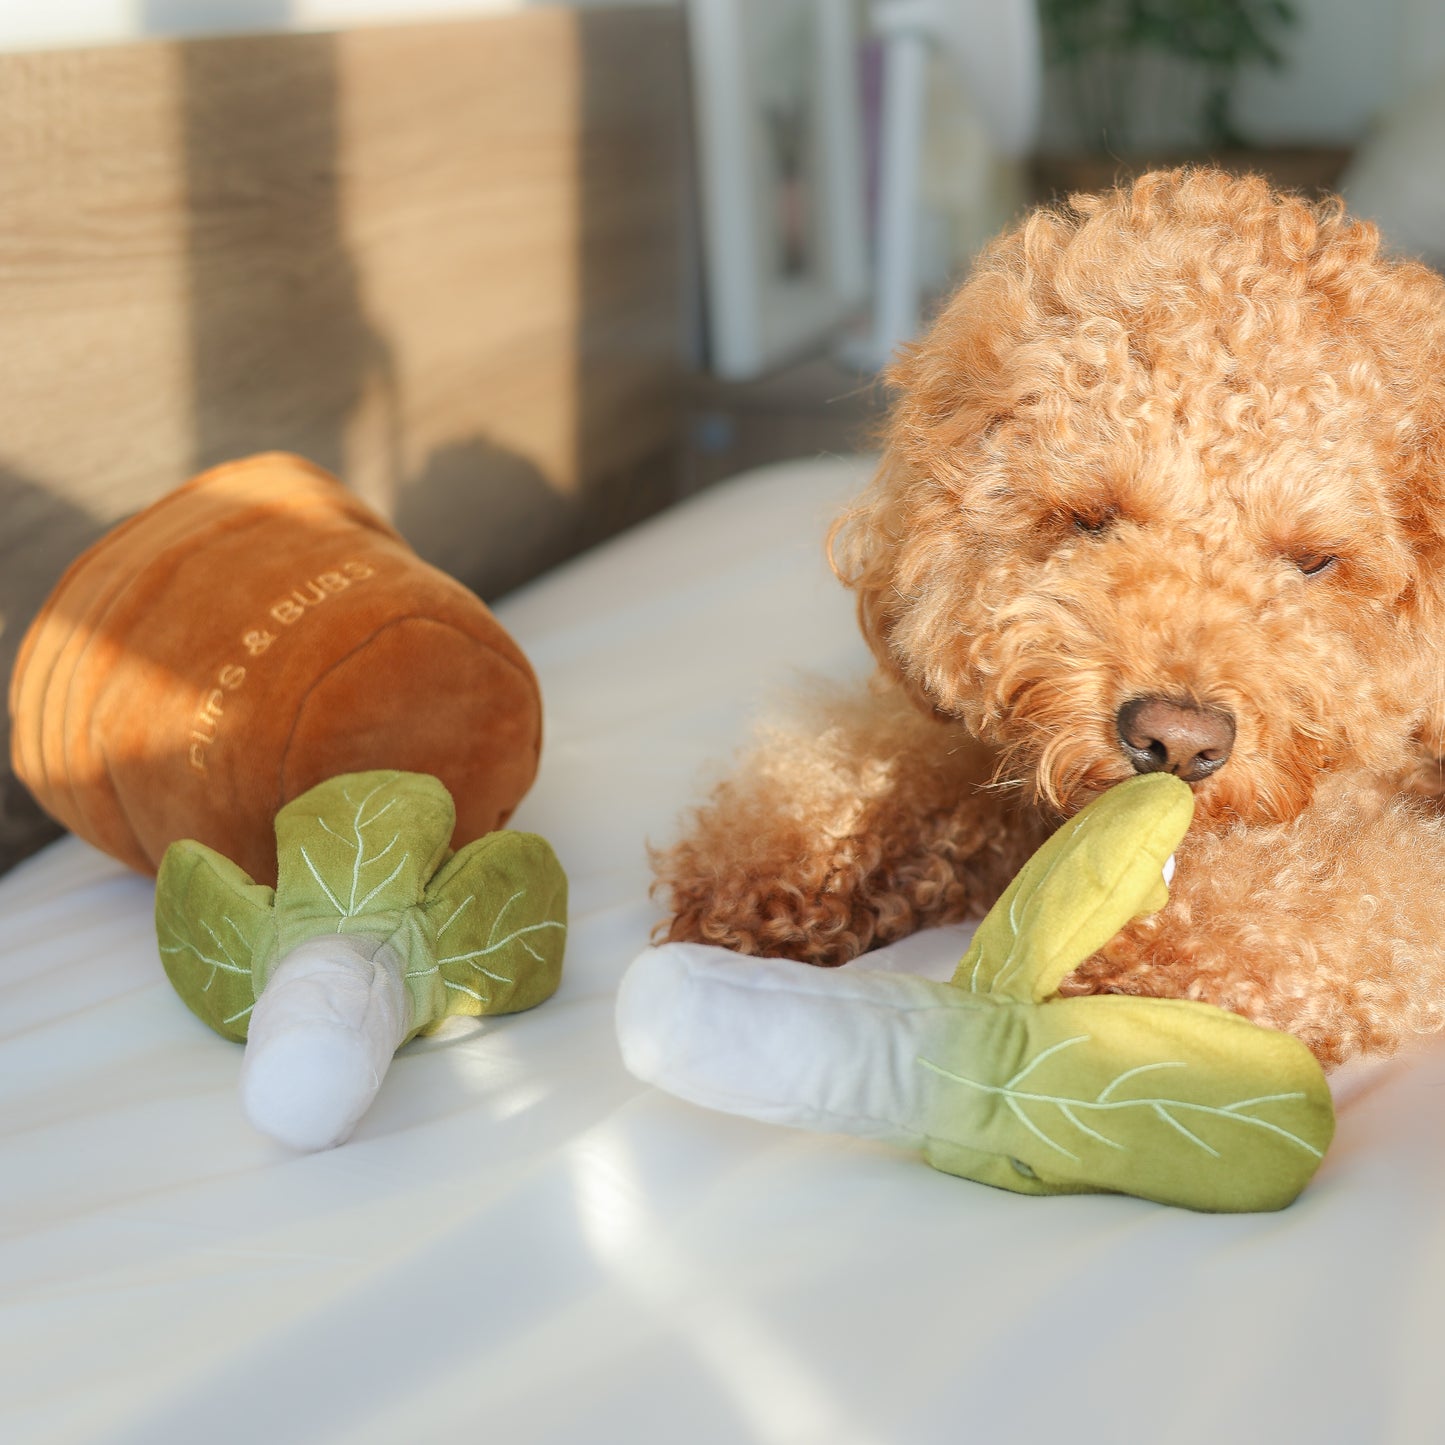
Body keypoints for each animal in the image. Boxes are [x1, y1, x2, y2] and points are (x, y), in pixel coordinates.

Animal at [658, 171, 1445, 1075]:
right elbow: (916, 761)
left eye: (1314, 561)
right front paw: (783, 858)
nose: (1175, 740)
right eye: (1089, 518)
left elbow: (1350, 900)